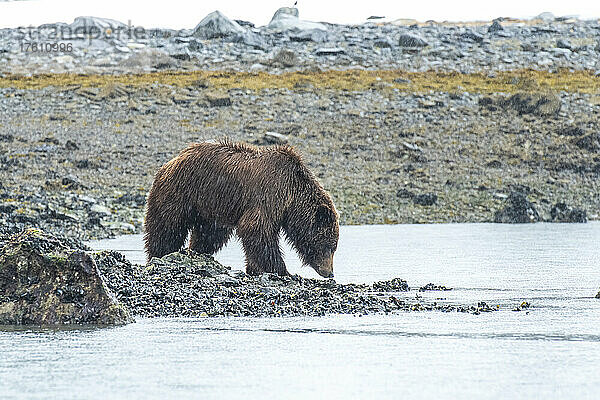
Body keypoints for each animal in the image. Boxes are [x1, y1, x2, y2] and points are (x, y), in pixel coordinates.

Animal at [141, 140, 338, 278]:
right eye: (330, 246)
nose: (330, 273)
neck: (292, 195)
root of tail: (171, 161)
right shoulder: (270, 195)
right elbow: (256, 229)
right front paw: (283, 270)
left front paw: (254, 268)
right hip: (179, 192)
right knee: (166, 228)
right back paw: (158, 255)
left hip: (211, 207)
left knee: (209, 235)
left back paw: (197, 252)